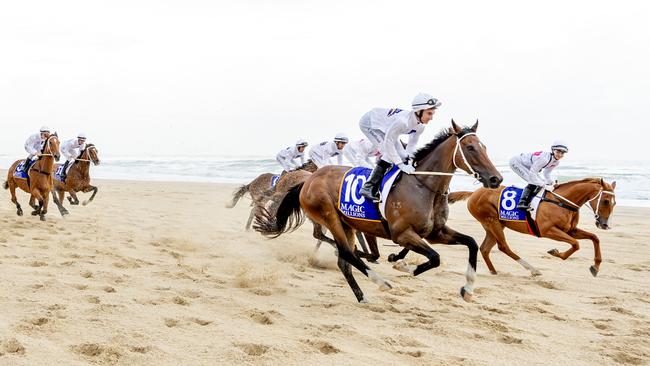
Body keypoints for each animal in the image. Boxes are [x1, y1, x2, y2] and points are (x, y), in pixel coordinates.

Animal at [253, 121, 502, 302]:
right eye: (470, 148)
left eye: (484, 147)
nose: (496, 179)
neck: (422, 186)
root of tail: (308, 180)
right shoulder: (402, 234)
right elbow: (435, 257)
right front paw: (405, 266)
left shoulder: (435, 232)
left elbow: (471, 243)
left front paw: (468, 288)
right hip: (330, 217)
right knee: (346, 253)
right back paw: (381, 282)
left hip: (347, 224)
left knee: (345, 260)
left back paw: (362, 296)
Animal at [448, 178, 616, 278]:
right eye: (606, 201)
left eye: (614, 203)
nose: (604, 224)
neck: (561, 202)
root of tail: (474, 193)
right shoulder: (547, 230)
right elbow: (576, 244)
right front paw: (556, 252)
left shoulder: (570, 230)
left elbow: (594, 238)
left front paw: (595, 266)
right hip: (492, 222)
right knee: (503, 247)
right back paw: (533, 269)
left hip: (494, 225)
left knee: (485, 248)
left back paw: (494, 272)